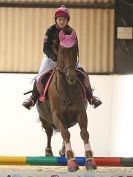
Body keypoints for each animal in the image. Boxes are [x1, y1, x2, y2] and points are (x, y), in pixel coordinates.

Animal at [36, 28, 96, 171]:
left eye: (75, 51)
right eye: (61, 53)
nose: (71, 77)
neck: (67, 90)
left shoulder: (81, 113)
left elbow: (84, 133)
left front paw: (90, 160)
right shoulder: (56, 115)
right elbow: (65, 133)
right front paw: (72, 162)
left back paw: (63, 151)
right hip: (45, 119)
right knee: (49, 132)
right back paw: (49, 151)